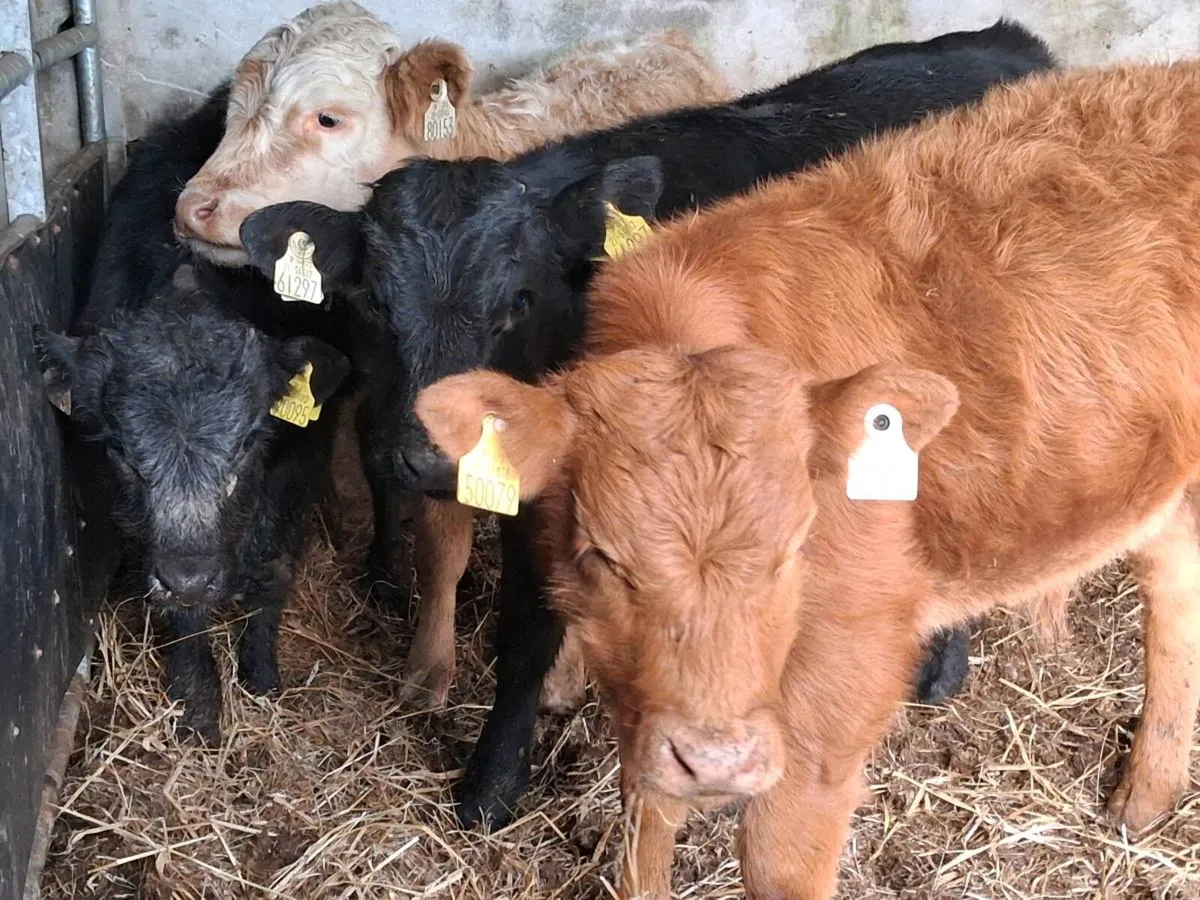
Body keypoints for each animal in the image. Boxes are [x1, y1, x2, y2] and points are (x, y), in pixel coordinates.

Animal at [36, 266, 352, 744]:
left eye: (248, 442)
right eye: (119, 450)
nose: (191, 579)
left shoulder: (292, 480)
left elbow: (273, 572)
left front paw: (261, 675)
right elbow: (184, 617)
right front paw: (198, 704)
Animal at [237, 19, 1057, 828]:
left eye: (520, 301)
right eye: (372, 302)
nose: (431, 457)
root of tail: (1008, 42)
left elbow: (526, 632)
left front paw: (490, 784)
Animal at [413, 59, 1200, 898]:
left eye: (796, 550)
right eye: (601, 557)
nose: (721, 761)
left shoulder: (839, 687)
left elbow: (780, 860)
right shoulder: (655, 696)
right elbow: (645, 816)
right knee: (1176, 591)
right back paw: (1145, 795)